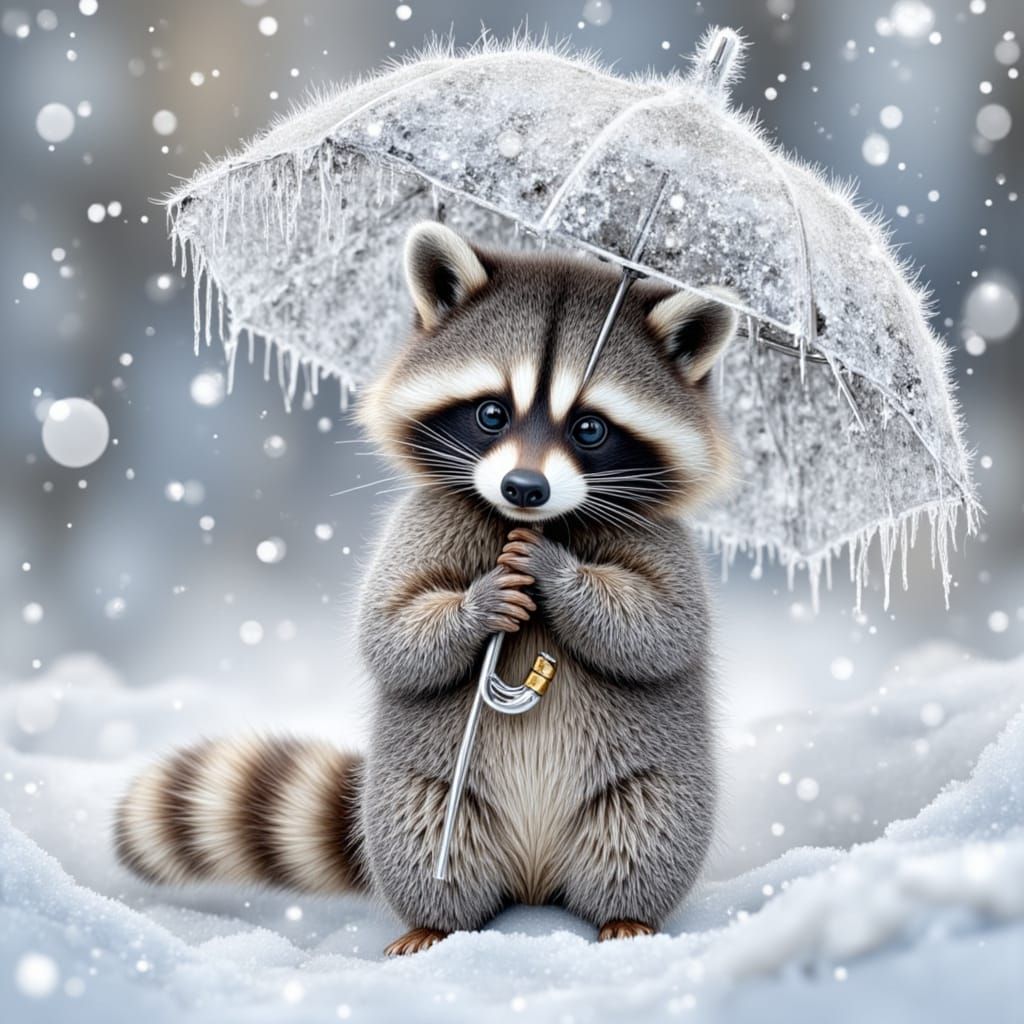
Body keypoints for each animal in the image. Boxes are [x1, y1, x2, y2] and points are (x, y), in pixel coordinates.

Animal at [115, 221, 738, 955]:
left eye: (589, 427)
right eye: (492, 413)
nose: (524, 490)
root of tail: (534, 884)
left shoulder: (660, 538)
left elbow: (664, 625)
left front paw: (554, 570)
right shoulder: (424, 520)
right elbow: (391, 630)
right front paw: (483, 602)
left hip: (651, 785)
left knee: (645, 832)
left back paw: (626, 914)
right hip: (421, 790)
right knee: (424, 834)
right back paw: (435, 920)